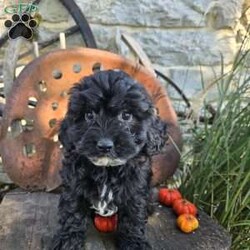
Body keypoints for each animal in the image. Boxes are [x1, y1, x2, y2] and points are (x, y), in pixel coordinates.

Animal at [50, 69, 167, 249]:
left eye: (126, 115)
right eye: (89, 115)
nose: (105, 145)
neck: (107, 169)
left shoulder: (135, 188)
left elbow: (133, 215)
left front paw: (134, 243)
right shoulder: (74, 184)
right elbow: (72, 210)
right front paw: (67, 241)